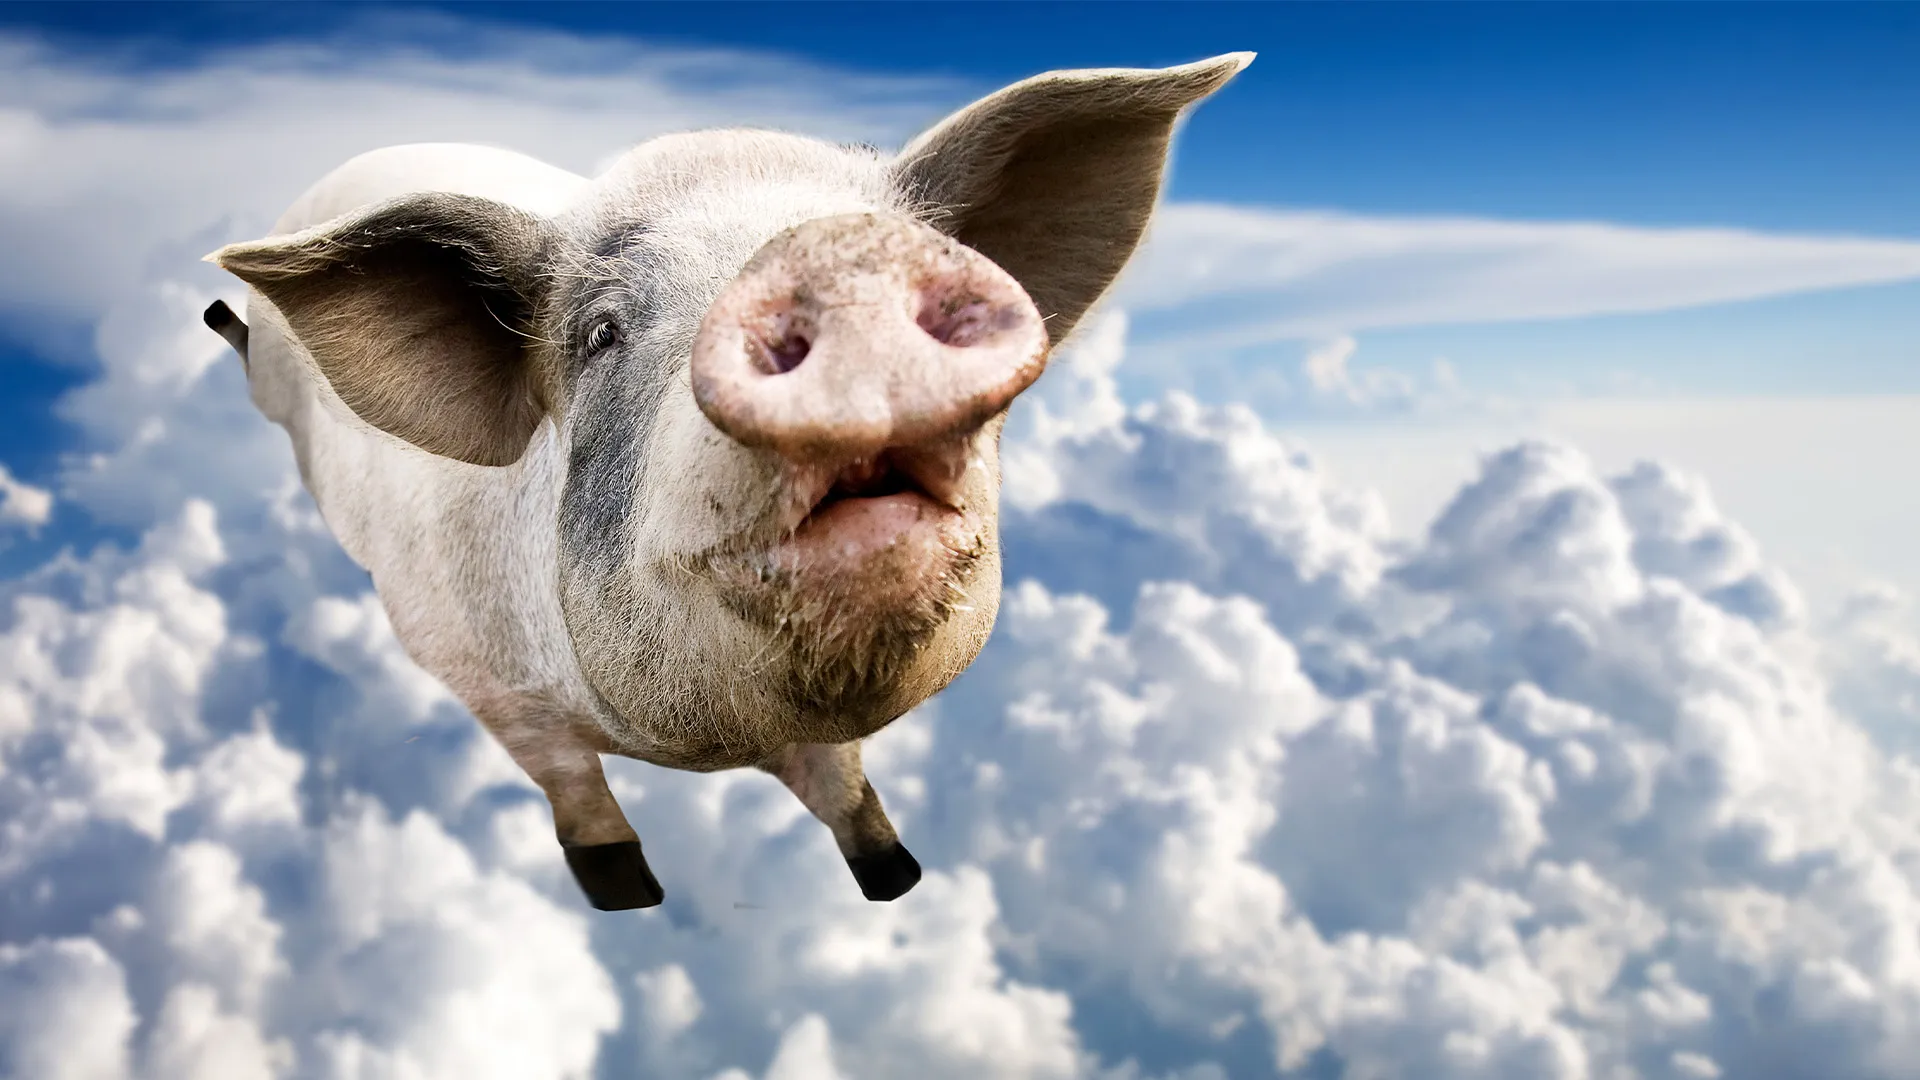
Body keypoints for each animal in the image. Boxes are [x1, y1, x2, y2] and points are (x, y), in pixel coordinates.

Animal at [203, 53, 1251, 911]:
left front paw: (896, 875)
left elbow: (842, 781)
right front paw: (630, 898)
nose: (834, 254)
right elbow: (568, 783)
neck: (706, 749)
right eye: (601, 332)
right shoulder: (472, 670)